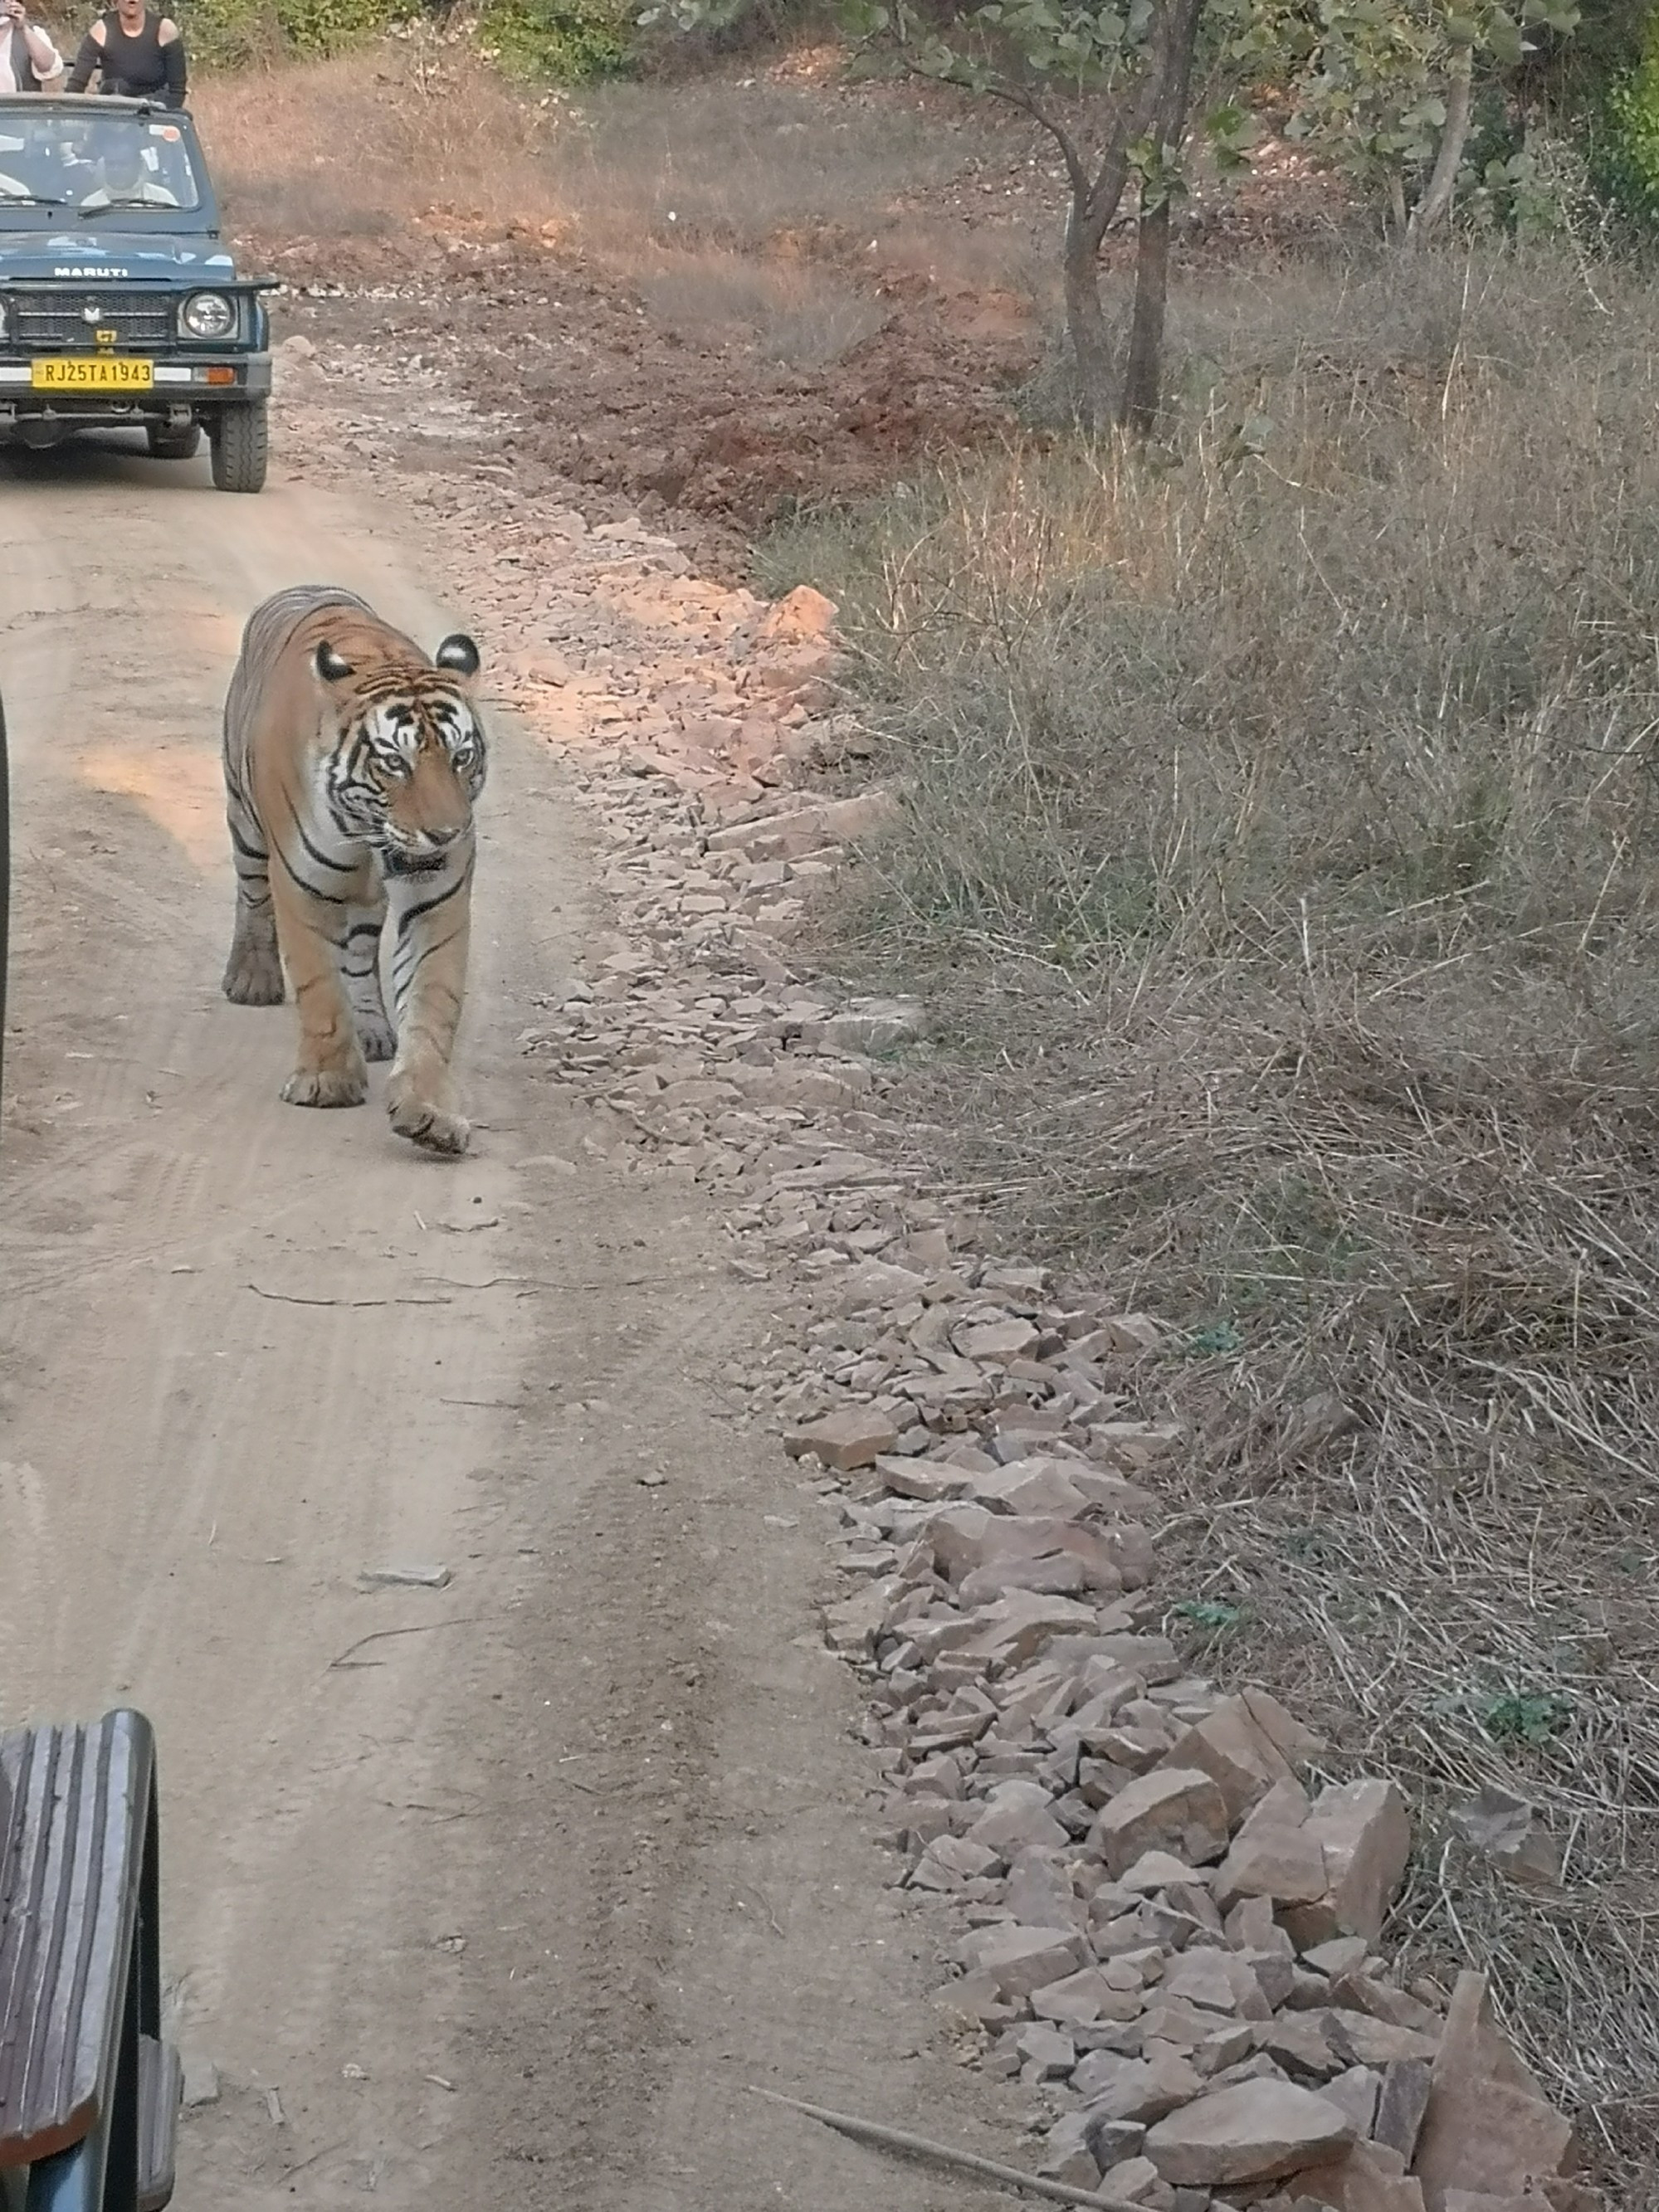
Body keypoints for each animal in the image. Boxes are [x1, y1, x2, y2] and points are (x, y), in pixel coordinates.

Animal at [218, 579, 486, 1158]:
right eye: (395, 764)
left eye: (460, 758)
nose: (447, 834)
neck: (368, 830)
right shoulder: (300, 884)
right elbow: (318, 984)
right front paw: (328, 1082)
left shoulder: (435, 893)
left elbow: (431, 1000)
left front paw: (429, 1110)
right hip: (244, 821)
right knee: (251, 895)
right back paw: (251, 978)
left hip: (366, 897)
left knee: (360, 952)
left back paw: (374, 1030)